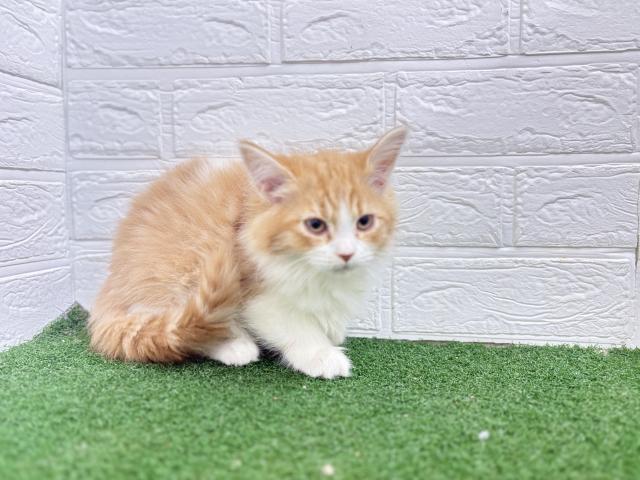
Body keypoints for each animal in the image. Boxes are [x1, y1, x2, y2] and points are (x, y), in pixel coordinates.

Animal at [89, 126, 408, 379]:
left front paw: (333, 329)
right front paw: (320, 353)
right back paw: (233, 345)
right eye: (315, 225)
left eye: (364, 222)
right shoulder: (251, 284)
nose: (346, 254)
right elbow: (291, 323)